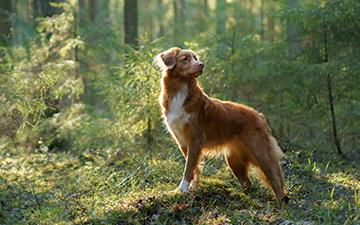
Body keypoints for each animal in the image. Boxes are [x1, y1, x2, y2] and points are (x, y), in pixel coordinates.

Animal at [154, 46, 286, 201]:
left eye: (196, 58)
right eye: (185, 59)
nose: (201, 65)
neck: (181, 87)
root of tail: (259, 115)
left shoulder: (194, 139)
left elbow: (189, 167)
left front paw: (182, 189)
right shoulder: (182, 141)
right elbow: (194, 167)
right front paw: (192, 188)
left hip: (260, 153)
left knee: (275, 180)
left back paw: (281, 202)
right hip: (233, 160)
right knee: (248, 184)